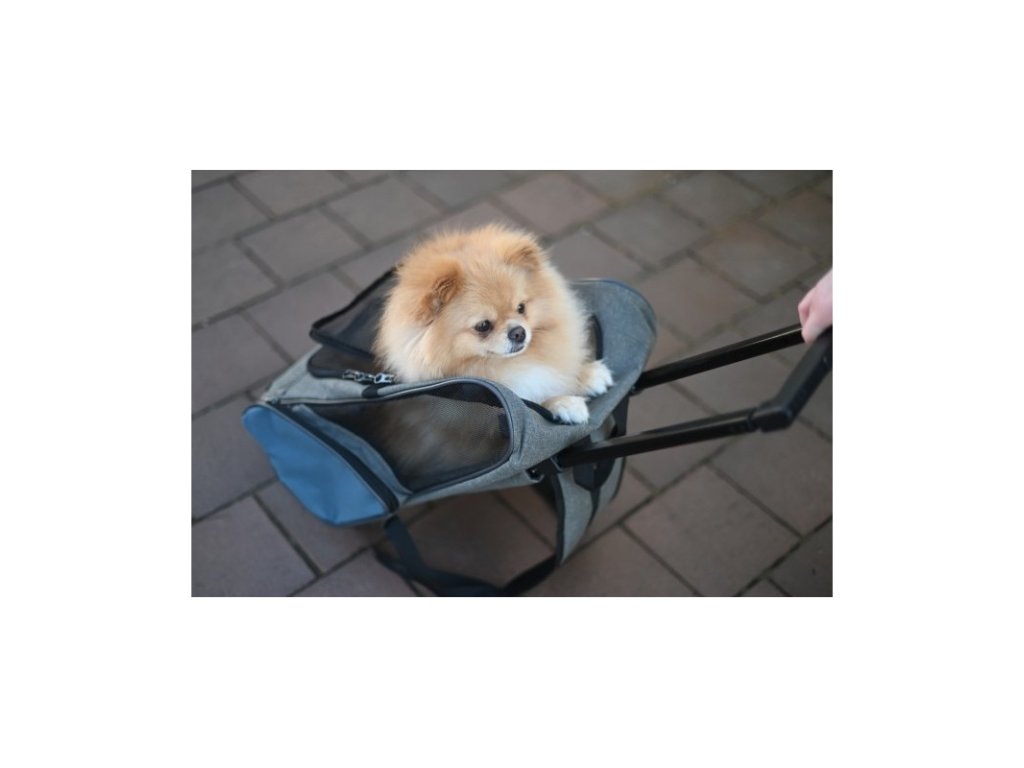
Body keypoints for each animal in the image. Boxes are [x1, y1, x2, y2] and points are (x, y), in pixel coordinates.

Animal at [374, 224, 613, 424]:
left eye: (521, 308)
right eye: (483, 326)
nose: (519, 332)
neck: (502, 364)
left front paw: (587, 373)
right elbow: (530, 403)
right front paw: (564, 403)